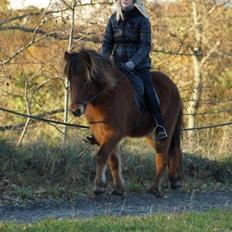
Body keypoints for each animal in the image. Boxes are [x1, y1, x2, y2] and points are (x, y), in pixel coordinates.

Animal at [63, 49, 183, 198]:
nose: (75, 110)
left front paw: (99, 187)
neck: (106, 95)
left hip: (165, 129)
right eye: (70, 80)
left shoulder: (115, 132)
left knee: (163, 156)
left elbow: (102, 155)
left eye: (86, 81)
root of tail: (174, 87)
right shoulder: (101, 133)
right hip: (150, 134)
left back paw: (155, 189)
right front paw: (118, 188)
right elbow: (113, 160)